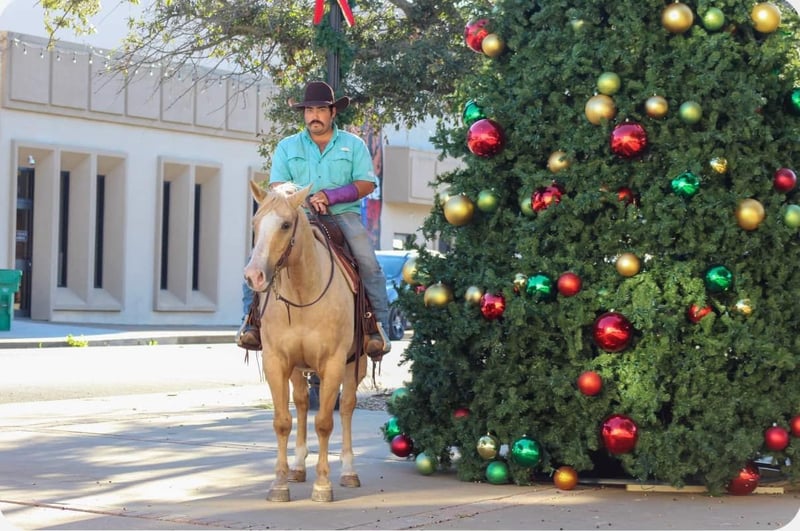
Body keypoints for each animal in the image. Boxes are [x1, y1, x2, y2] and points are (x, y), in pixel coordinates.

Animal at [243, 180, 367, 503]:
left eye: (286, 224)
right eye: (255, 223)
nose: (254, 276)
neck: (302, 292)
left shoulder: (333, 362)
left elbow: (324, 422)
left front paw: (323, 485)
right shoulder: (276, 361)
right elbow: (282, 421)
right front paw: (279, 484)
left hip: (356, 363)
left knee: (347, 407)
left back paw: (349, 471)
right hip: (298, 368)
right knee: (299, 403)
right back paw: (298, 467)